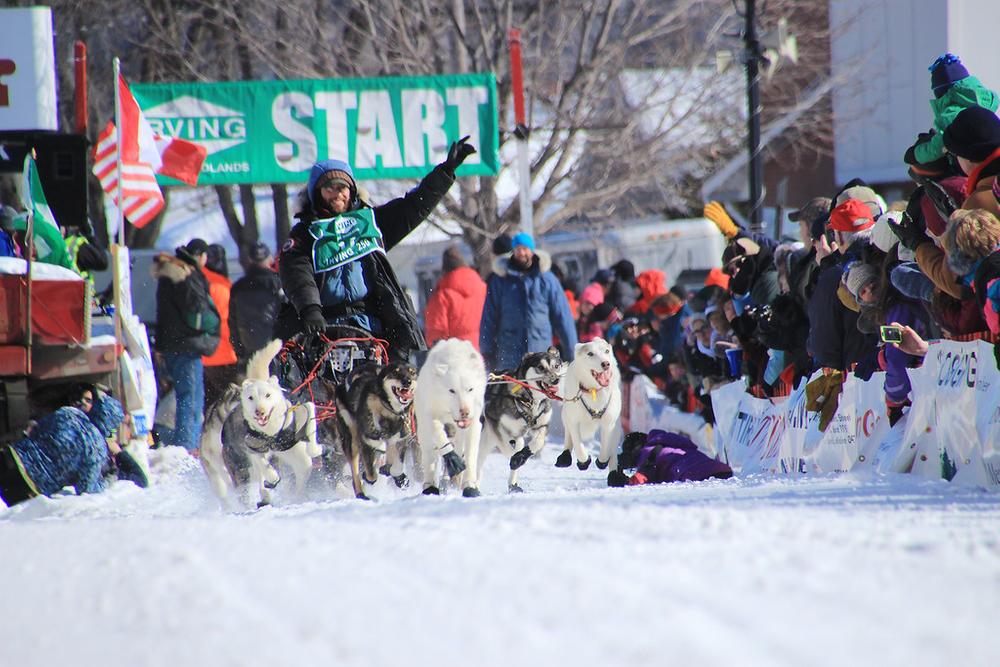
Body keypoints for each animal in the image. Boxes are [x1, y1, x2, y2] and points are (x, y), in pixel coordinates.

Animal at [414, 340, 488, 496]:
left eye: (470, 389)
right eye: (452, 390)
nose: (465, 412)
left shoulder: (474, 424)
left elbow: (470, 456)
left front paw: (470, 486)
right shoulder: (430, 416)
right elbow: (438, 434)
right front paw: (451, 458)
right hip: (423, 432)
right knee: (430, 457)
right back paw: (430, 487)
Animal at [560, 342, 620, 472]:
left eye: (606, 351)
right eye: (590, 353)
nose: (605, 364)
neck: (594, 391)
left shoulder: (609, 424)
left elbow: (606, 448)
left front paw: (602, 461)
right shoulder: (574, 421)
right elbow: (578, 445)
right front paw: (584, 461)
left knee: (613, 449)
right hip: (566, 414)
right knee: (568, 435)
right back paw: (564, 457)